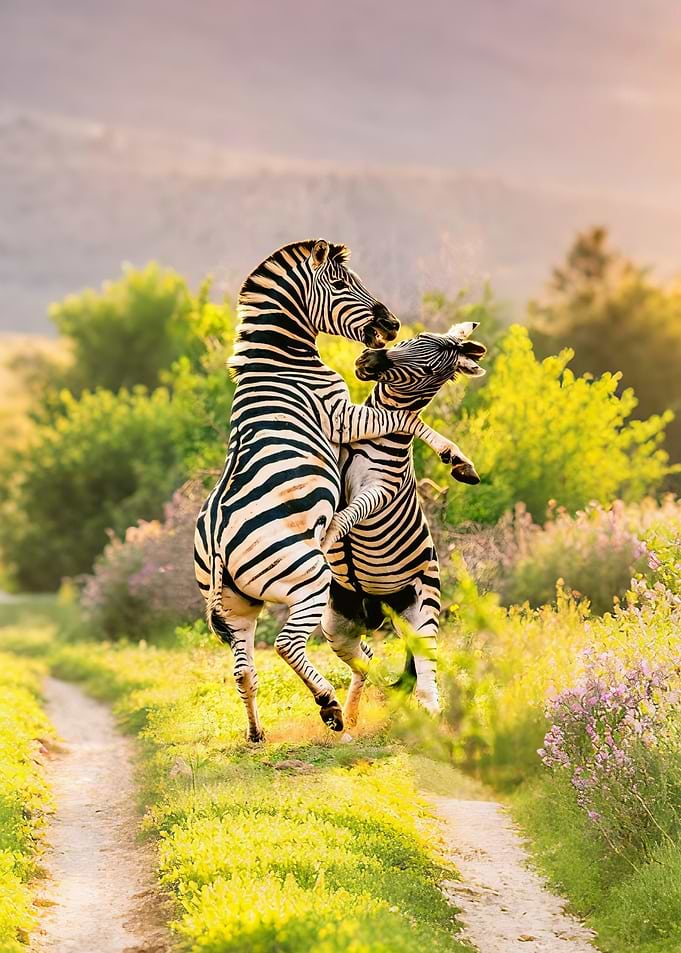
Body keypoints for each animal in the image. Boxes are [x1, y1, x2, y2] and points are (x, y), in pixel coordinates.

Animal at [321, 322, 487, 728]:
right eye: (412, 340)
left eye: (428, 370)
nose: (367, 360)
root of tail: (378, 602)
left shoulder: (380, 491)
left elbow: (348, 515)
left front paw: (328, 536)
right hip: (338, 620)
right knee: (364, 663)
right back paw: (349, 718)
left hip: (421, 607)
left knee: (425, 673)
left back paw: (430, 717)